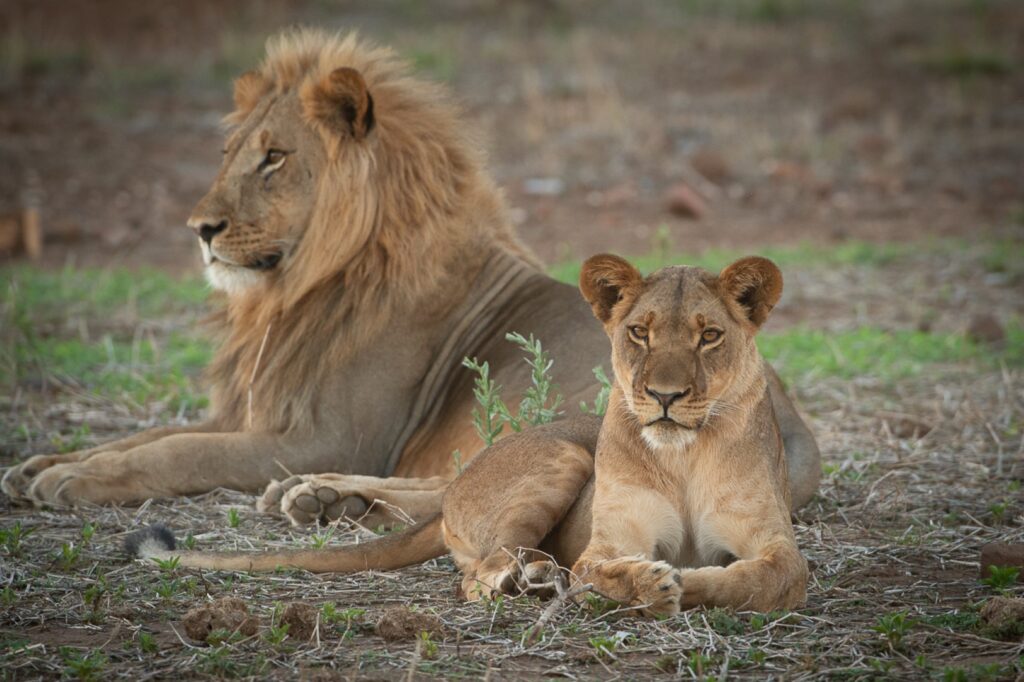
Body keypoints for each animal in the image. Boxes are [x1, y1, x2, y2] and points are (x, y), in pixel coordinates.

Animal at [0, 29, 815, 524]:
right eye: (230, 153)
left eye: (274, 158)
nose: (199, 228)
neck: (290, 293)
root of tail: (795, 430)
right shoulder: (256, 413)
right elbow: (150, 433)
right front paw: (43, 462)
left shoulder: (332, 435)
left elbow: (179, 451)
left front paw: (72, 482)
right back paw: (324, 501)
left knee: (470, 483)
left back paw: (326, 497)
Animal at [132, 251, 806, 614]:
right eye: (639, 332)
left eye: (708, 336)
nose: (665, 397)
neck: (683, 457)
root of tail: (461, 487)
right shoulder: (607, 543)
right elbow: (600, 568)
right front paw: (652, 582)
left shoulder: (777, 547)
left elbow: (759, 579)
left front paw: (689, 581)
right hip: (562, 458)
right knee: (478, 574)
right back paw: (532, 579)